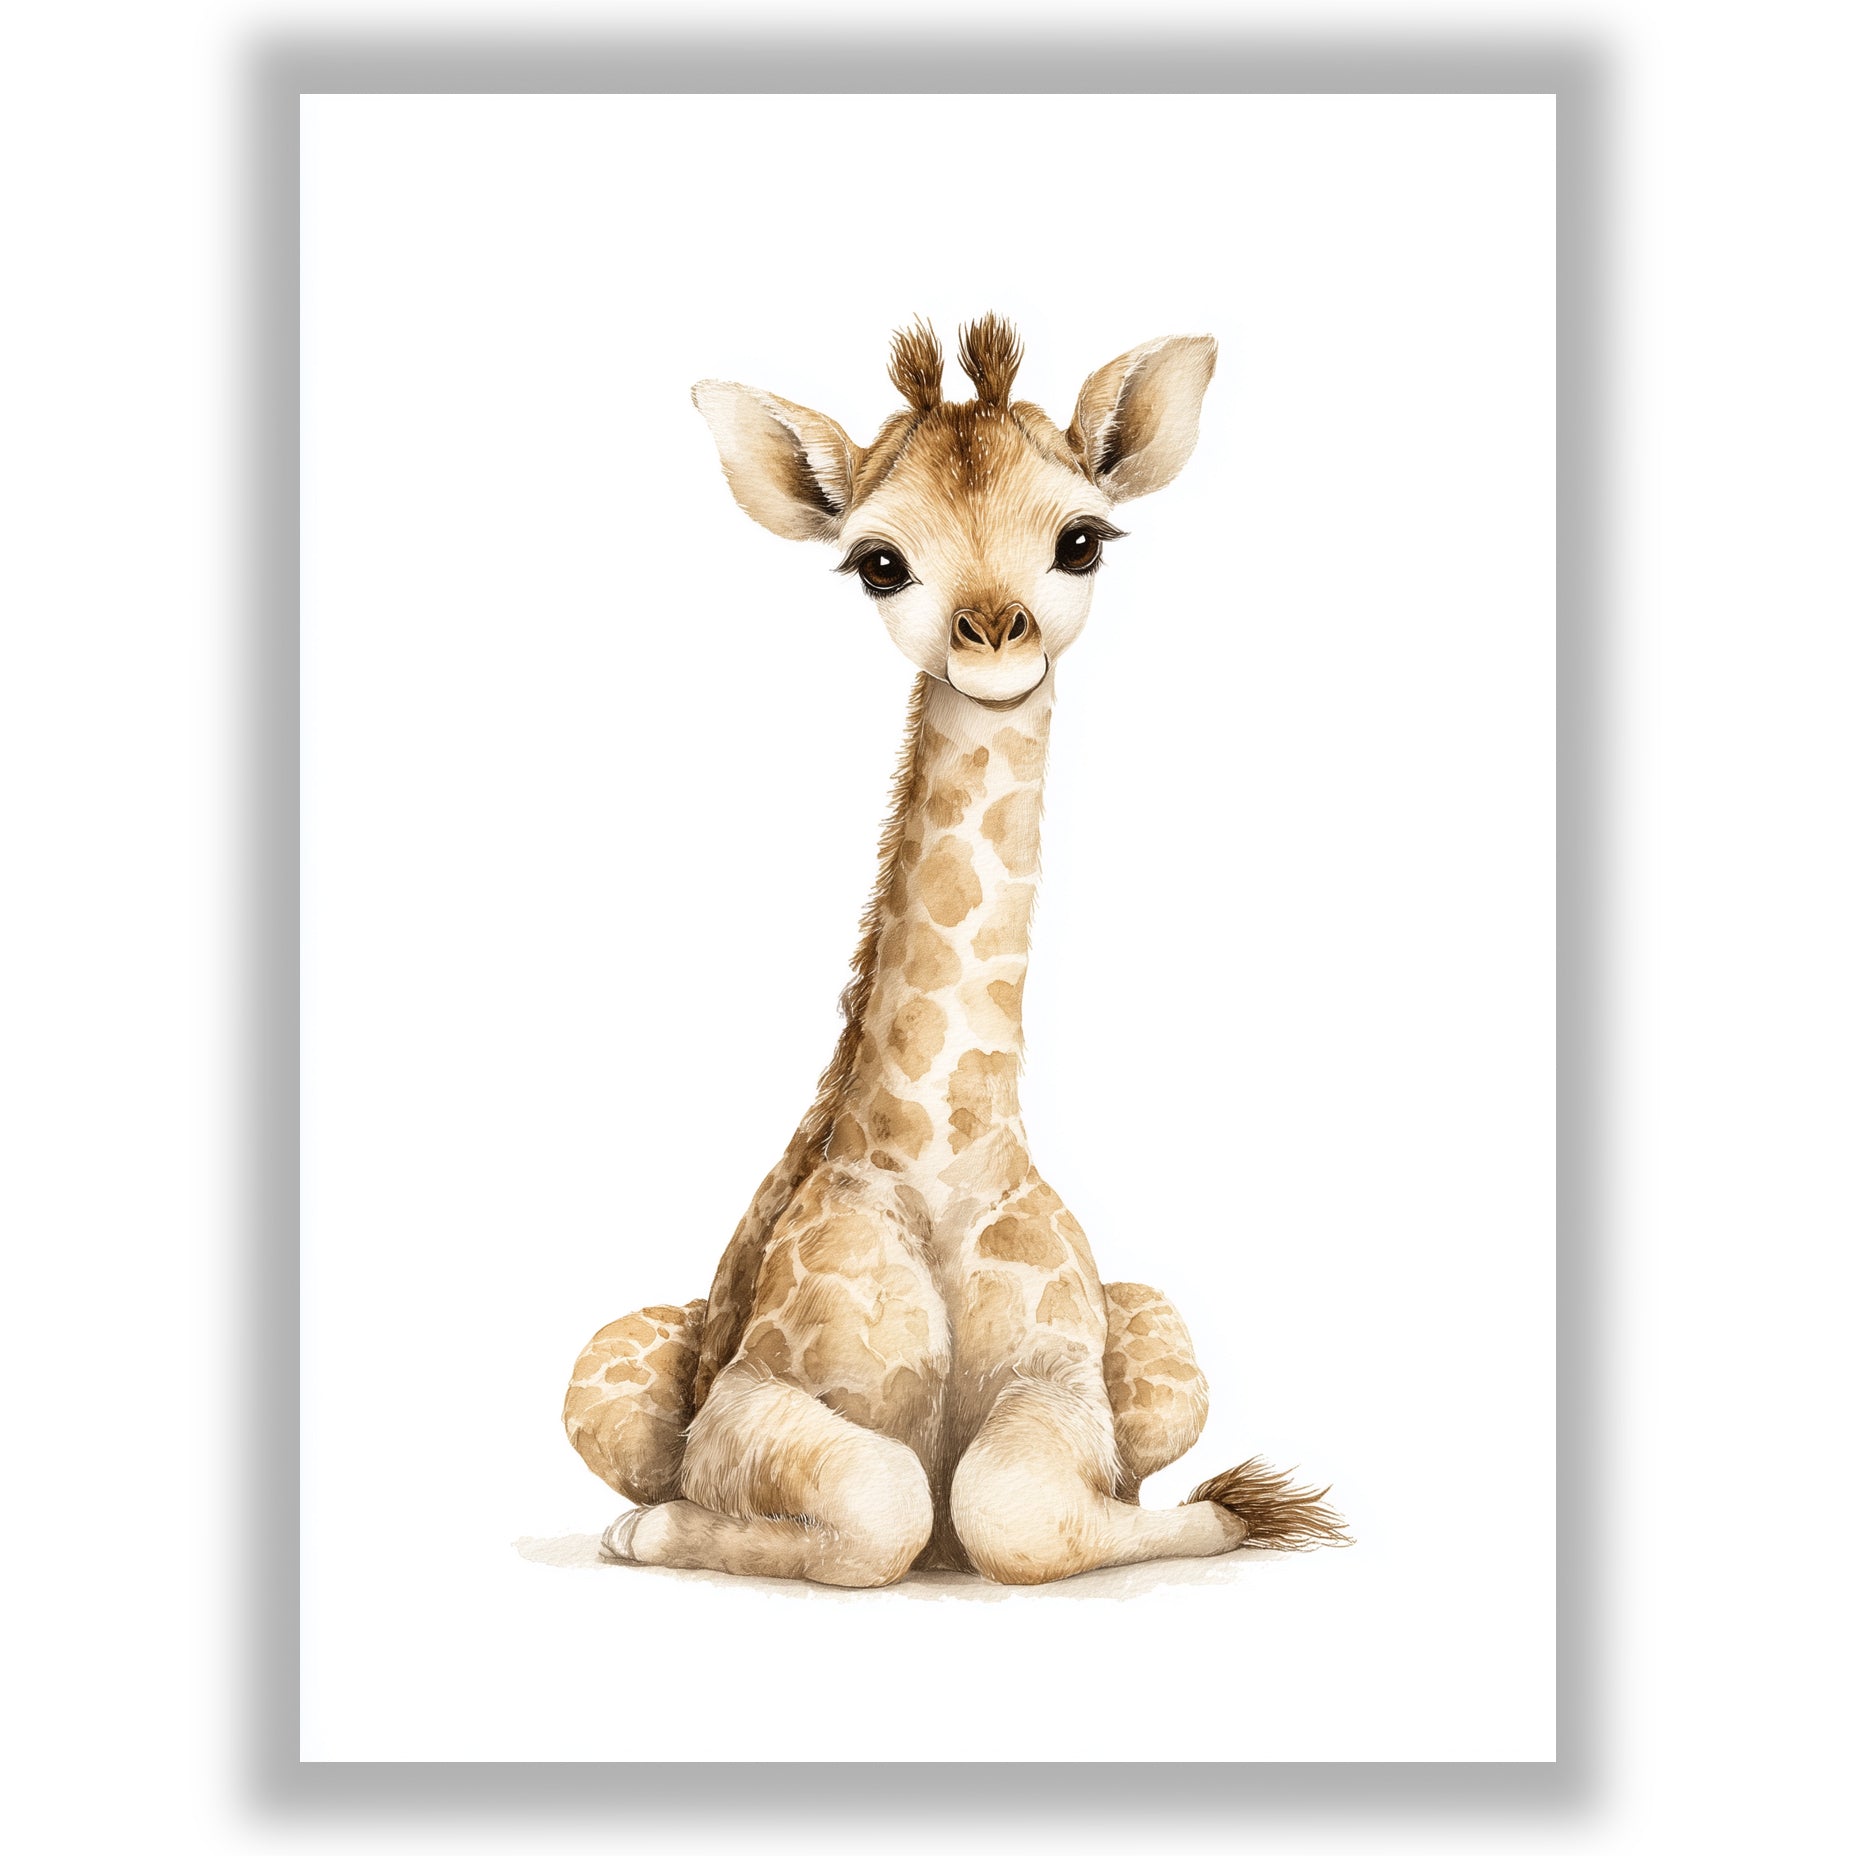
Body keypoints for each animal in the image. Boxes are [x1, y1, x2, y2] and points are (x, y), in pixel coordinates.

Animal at [562, 316, 1348, 1586]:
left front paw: (1238, 1507)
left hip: (1162, 1334)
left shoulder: (1063, 1380)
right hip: (603, 1369)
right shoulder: (748, 1398)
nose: (992, 636)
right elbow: (887, 1500)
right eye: (879, 562)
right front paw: (653, 1527)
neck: (940, 1153)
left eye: (1080, 540)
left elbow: (1014, 1503)